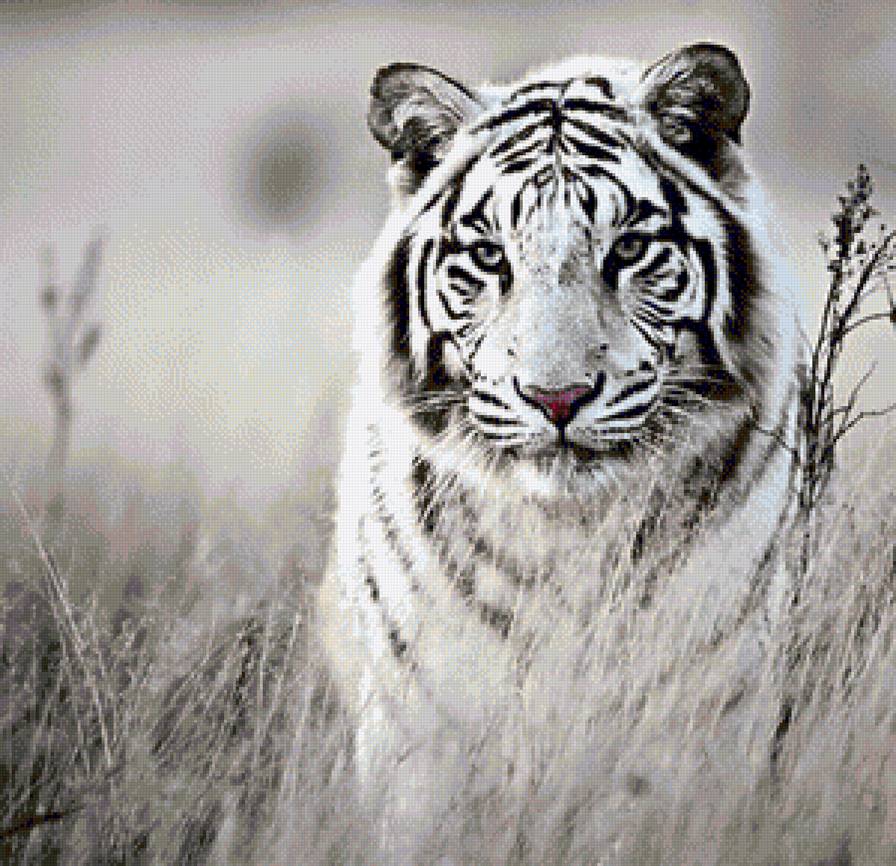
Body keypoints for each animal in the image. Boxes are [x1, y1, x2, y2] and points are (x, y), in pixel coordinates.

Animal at [318, 43, 803, 865]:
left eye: (630, 249)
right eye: (488, 257)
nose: (556, 398)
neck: (570, 537)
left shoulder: (702, 723)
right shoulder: (424, 739)